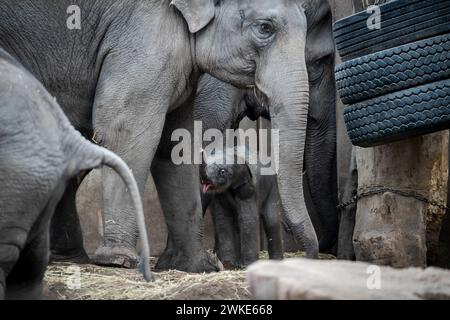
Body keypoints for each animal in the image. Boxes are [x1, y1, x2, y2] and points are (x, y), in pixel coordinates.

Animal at [0, 0, 332, 270]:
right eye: (265, 28)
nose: (311, 255)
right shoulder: (145, 34)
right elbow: (126, 127)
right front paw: (119, 261)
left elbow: (177, 143)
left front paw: (193, 266)